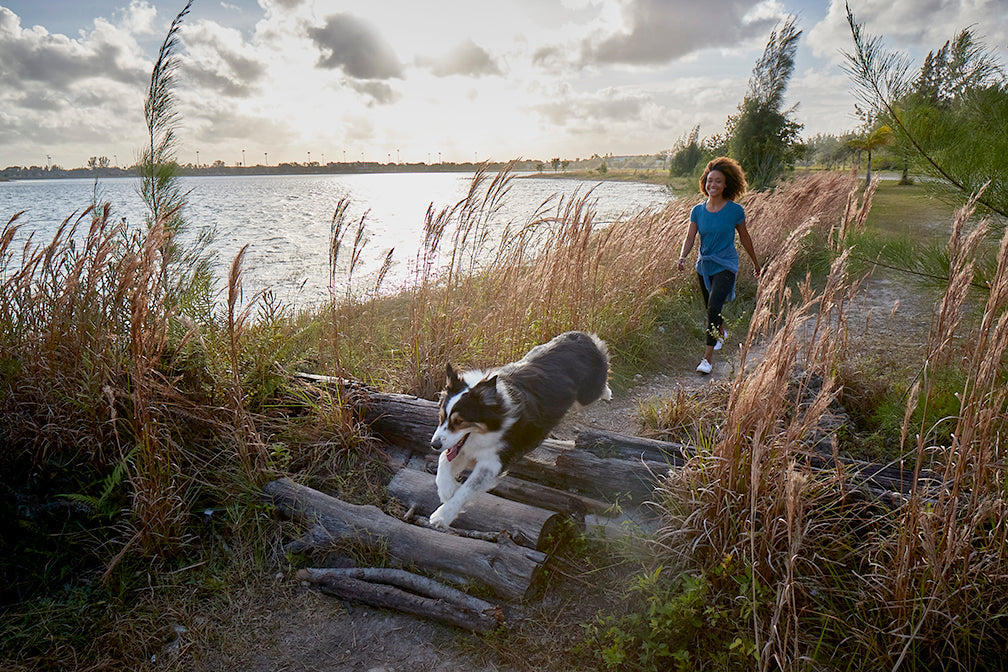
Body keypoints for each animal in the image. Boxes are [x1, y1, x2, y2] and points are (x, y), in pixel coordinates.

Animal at [427, 330, 608, 531]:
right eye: (441, 417)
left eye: (459, 421)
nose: (434, 444)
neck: (497, 411)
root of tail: (580, 335)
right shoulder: (466, 449)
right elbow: (444, 459)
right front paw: (447, 489)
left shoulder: (493, 462)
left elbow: (466, 489)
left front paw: (442, 515)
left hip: (588, 394)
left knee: (600, 383)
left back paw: (607, 392)